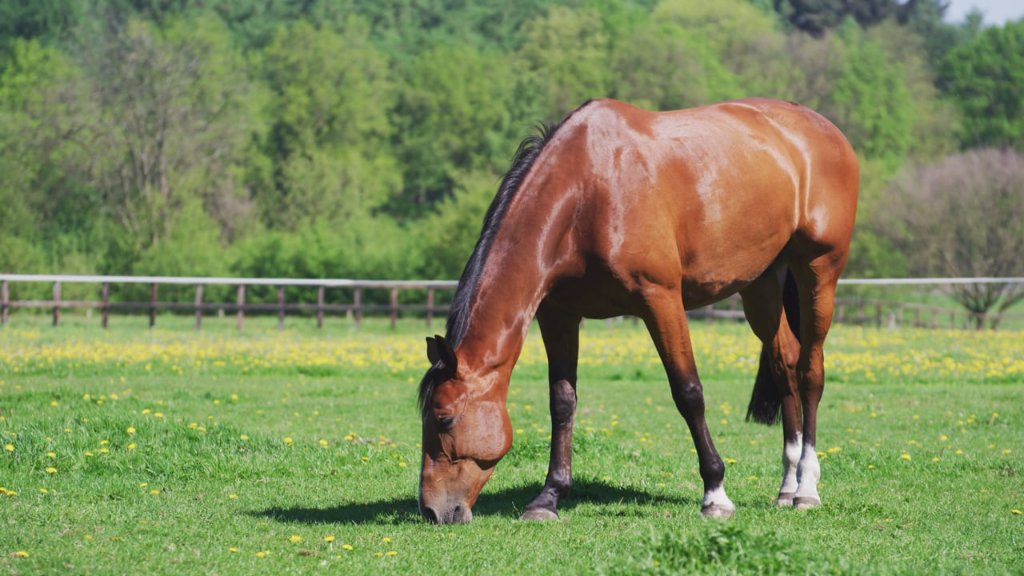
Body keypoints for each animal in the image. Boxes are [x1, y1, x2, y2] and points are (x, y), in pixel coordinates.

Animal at [417, 98, 858, 524]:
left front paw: (715, 494)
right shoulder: (558, 314)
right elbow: (561, 402)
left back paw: (806, 489)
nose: (432, 511)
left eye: (444, 419)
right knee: (785, 363)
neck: (586, 194)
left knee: (810, 372)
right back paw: (787, 486)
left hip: (818, 271)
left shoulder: (660, 300)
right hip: (761, 285)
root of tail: (826, 131)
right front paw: (549, 497)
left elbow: (688, 392)